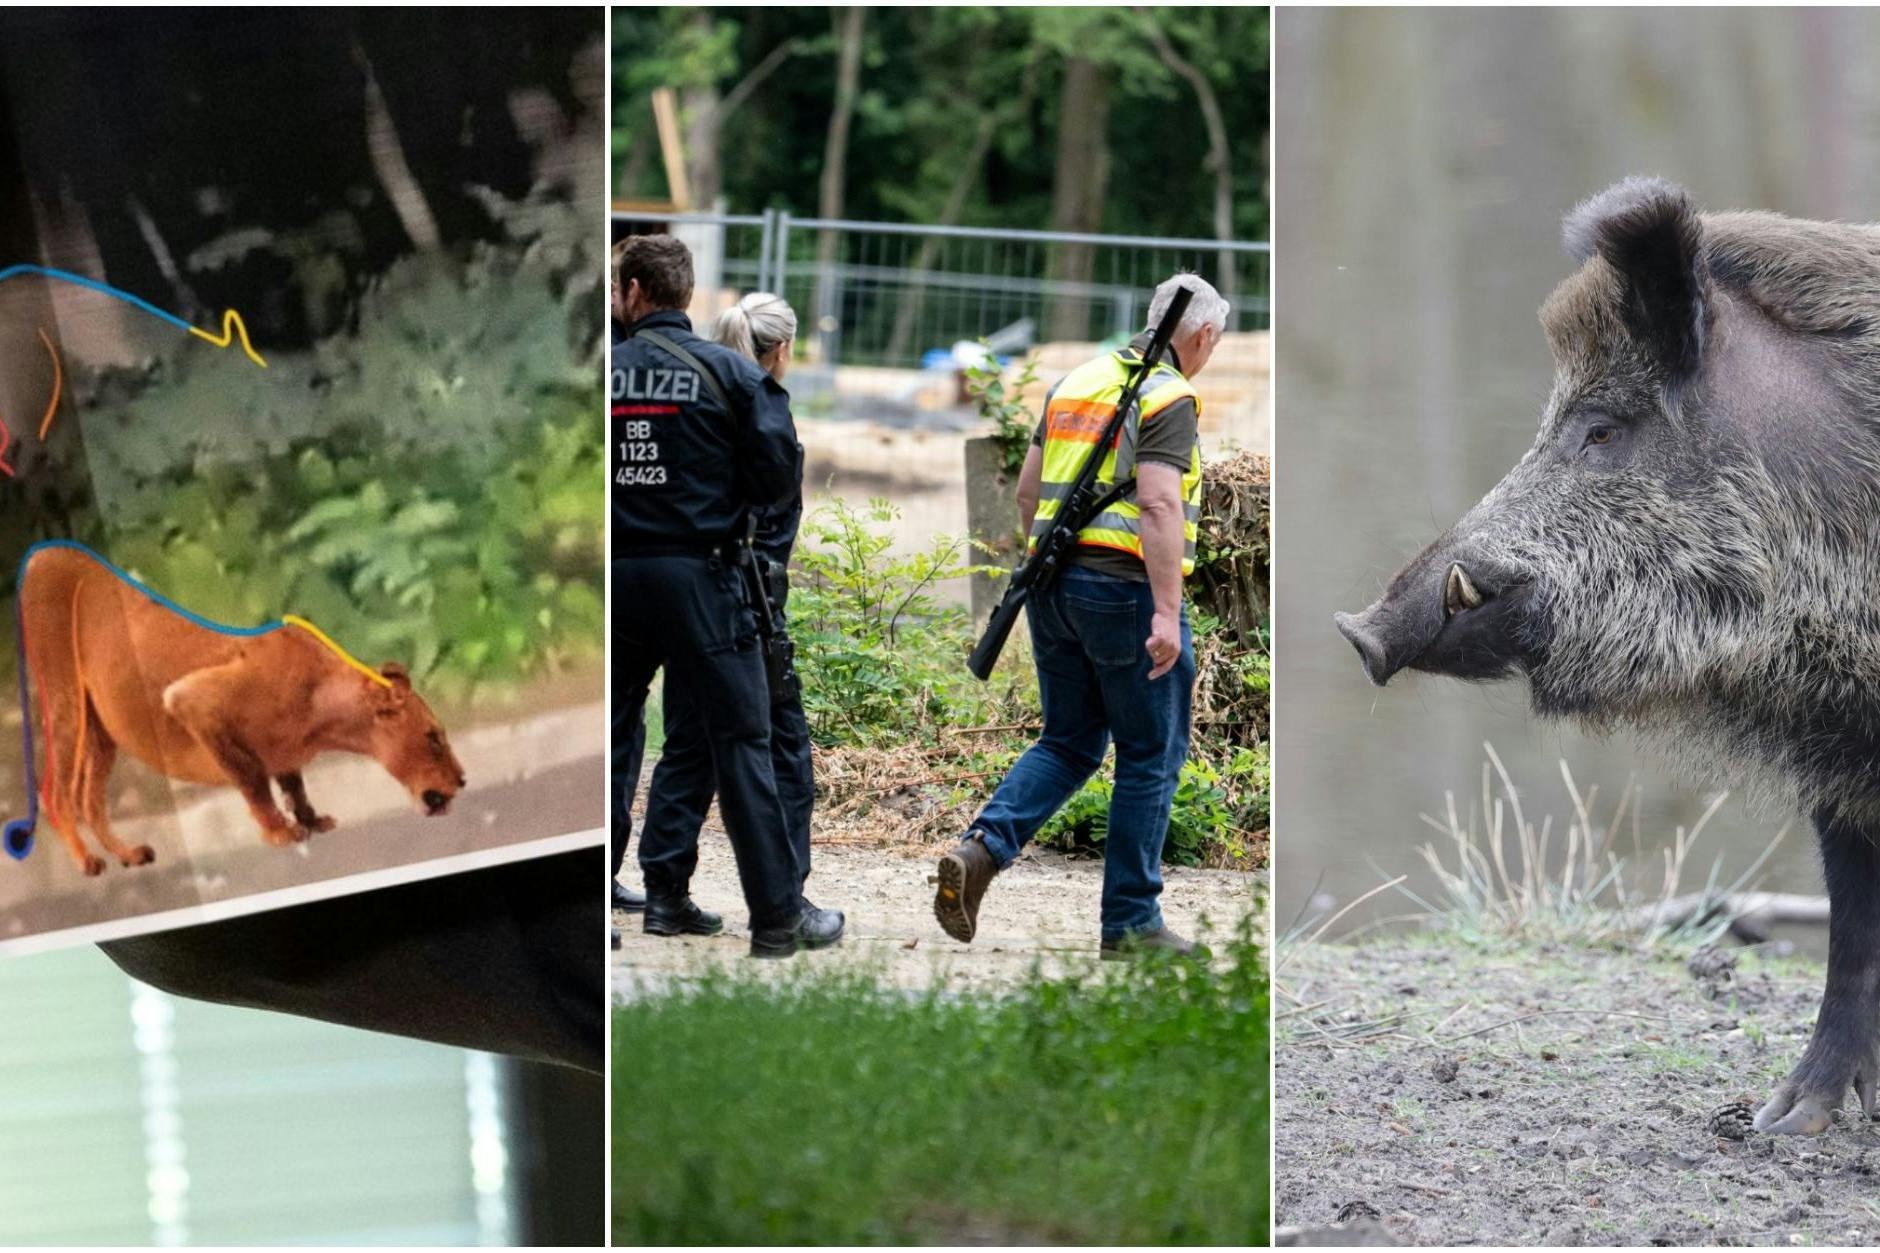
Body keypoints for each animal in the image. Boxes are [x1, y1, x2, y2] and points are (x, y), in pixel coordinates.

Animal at [13, 543, 466, 876]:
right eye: (433, 738)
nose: (462, 780)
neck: (325, 713)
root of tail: (43, 553)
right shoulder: (190, 700)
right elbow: (252, 780)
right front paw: (281, 833)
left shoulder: (283, 751)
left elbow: (294, 784)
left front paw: (310, 820)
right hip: (63, 694)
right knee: (55, 792)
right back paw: (88, 862)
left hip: (101, 727)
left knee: (89, 798)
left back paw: (127, 855)